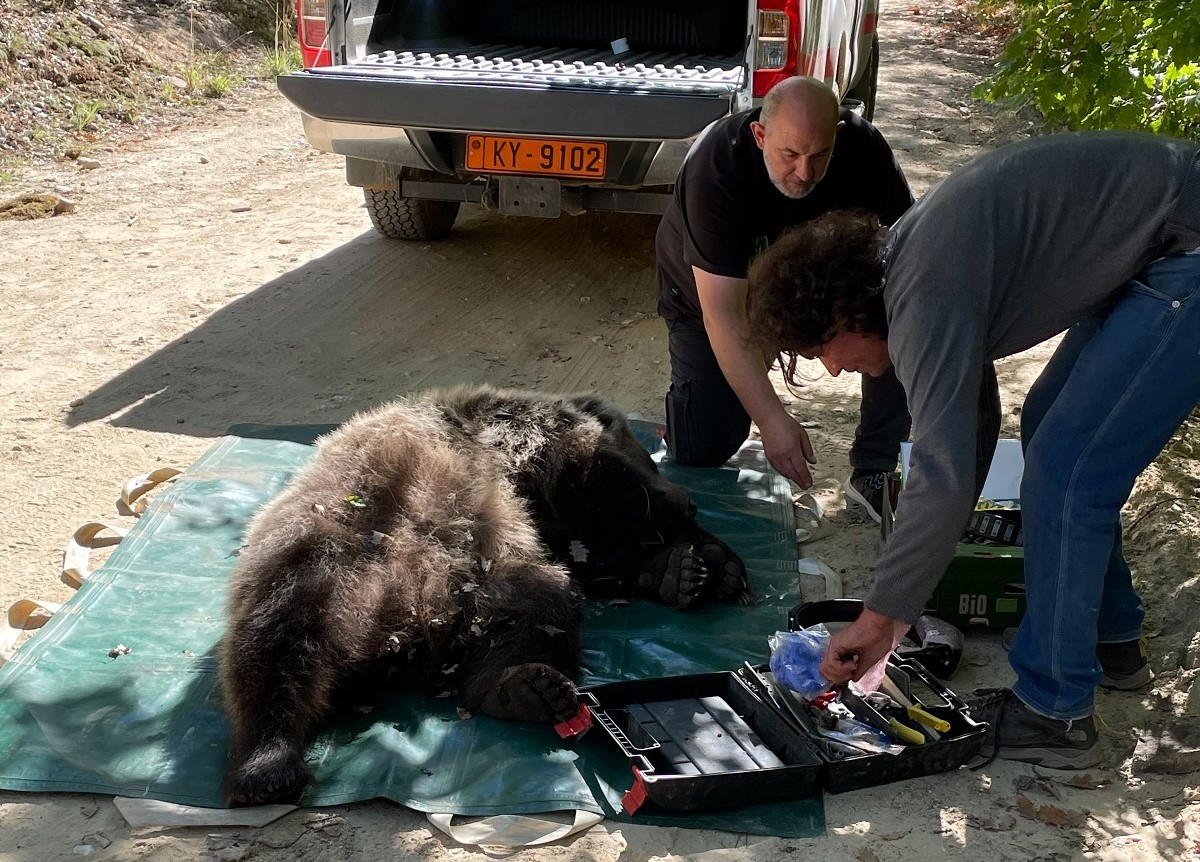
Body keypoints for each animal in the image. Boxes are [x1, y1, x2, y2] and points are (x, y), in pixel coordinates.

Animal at [213, 388, 739, 806]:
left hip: (496, 577)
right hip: (322, 553)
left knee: (539, 608)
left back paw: (523, 687)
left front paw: (687, 569)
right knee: (278, 637)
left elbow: (593, 549)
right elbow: (608, 488)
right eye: (649, 456)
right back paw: (267, 765)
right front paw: (699, 547)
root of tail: (408, 633)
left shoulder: (544, 510)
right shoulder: (536, 442)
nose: (688, 496)